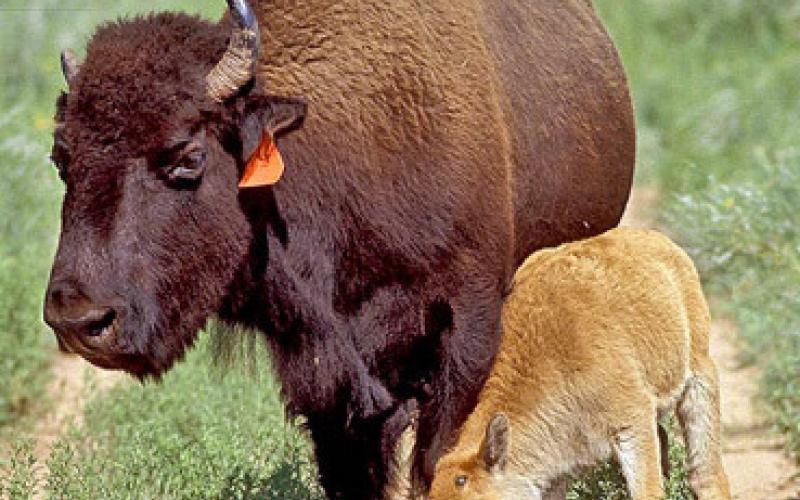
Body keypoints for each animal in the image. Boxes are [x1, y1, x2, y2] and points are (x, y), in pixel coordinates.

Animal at [43, 0, 635, 498]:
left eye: (187, 157)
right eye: (60, 157)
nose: (79, 319)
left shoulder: (467, 330)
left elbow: (437, 461)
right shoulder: (323, 376)